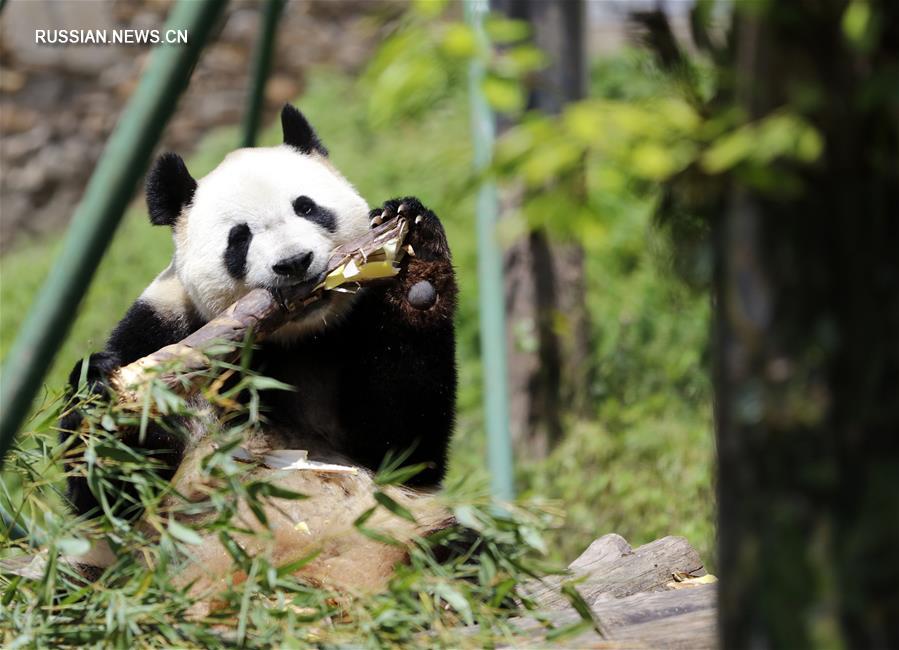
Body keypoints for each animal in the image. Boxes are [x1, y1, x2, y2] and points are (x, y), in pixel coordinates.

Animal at [61, 105, 458, 528]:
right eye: (239, 238)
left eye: (307, 207)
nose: (294, 262)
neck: (293, 337)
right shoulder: (161, 326)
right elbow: (108, 504)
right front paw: (101, 389)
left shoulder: (354, 323)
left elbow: (401, 445)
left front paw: (416, 266)